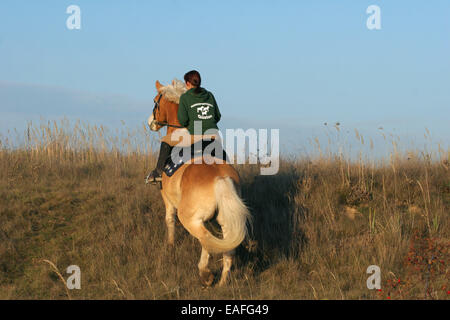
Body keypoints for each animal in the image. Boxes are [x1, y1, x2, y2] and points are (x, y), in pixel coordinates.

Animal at [149, 79, 251, 286]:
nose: (151, 123)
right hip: (226, 220)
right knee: (224, 247)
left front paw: (170, 246)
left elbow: (169, 220)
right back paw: (221, 283)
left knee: (205, 239)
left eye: (156, 101)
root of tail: (220, 178)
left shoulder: (167, 199)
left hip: (191, 218)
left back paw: (205, 274)